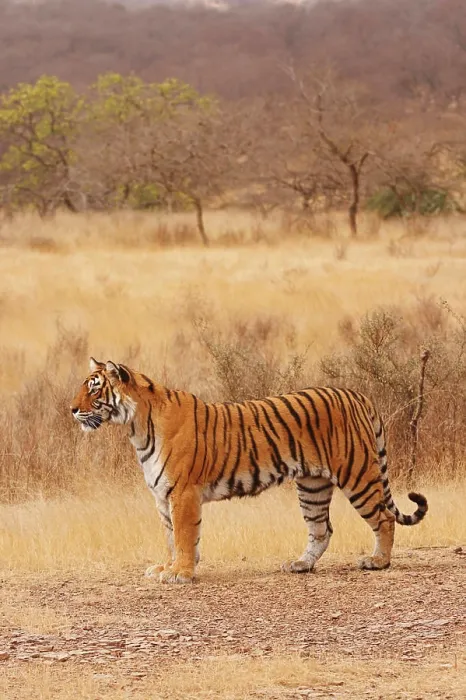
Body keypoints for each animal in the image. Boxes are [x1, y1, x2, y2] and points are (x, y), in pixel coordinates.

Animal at [70, 358, 428, 584]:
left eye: (94, 388)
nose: (71, 409)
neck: (136, 427)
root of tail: (356, 393)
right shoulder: (162, 496)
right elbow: (171, 537)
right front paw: (168, 568)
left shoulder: (183, 493)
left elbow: (184, 536)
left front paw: (180, 573)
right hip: (312, 485)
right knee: (321, 529)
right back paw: (301, 565)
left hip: (357, 474)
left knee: (383, 517)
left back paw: (378, 562)